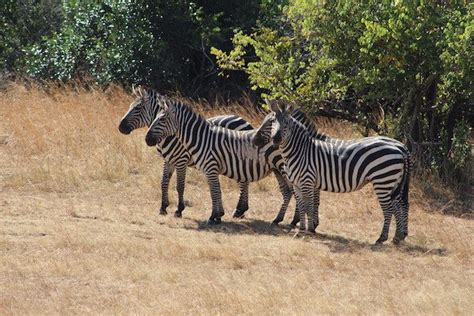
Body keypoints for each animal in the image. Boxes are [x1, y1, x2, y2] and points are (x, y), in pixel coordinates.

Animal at [117, 87, 256, 218]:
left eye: (138, 108)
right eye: (130, 106)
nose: (120, 127)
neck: (170, 135)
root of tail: (243, 119)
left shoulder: (181, 161)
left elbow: (180, 186)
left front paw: (179, 210)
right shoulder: (168, 160)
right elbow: (164, 182)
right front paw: (163, 207)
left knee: (244, 182)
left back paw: (239, 210)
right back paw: (241, 209)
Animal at [143, 97, 294, 223]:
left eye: (162, 119)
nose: (147, 139)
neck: (202, 139)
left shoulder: (206, 166)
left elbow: (214, 191)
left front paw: (213, 216)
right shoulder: (209, 169)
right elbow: (215, 191)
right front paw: (218, 215)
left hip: (284, 167)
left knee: (294, 191)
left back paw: (294, 222)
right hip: (276, 169)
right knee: (287, 192)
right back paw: (278, 219)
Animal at [252, 101, 412, 244]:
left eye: (284, 124)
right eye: (272, 122)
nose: (255, 140)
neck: (300, 151)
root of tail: (400, 148)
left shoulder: (308, 182)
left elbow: (310, 205)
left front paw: (309, 229)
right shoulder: (299, 184)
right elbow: (303, 205)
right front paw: (302, 229)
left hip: (383, 181)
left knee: (389, 209)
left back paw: (382, 238)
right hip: (393, 183)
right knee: (399, 205)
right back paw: (397, 237)